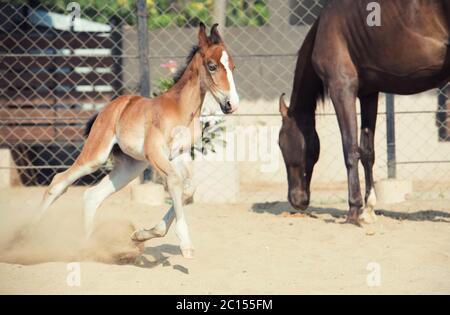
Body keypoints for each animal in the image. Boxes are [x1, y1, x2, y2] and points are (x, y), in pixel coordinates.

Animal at [36, 23, 239, 258]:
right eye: (212, 66)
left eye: (233, 66)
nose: (231, 104)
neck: (181, 110)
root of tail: (109, 108)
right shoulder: (155, 152)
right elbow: (175, 182)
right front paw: (185, 244)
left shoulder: (179, 155)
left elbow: (188, 189)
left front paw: (142, 235)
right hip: (96, 156)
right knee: (58, 182)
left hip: (131, 167)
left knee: (92, 195)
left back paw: (87, 247)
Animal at [278, 1, 450, 226]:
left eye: (281, 145)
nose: (297, 200)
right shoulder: (369, 94)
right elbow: (367, 151)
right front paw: (368, 209)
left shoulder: (341, 89)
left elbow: (350, 149)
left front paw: (353, 210)